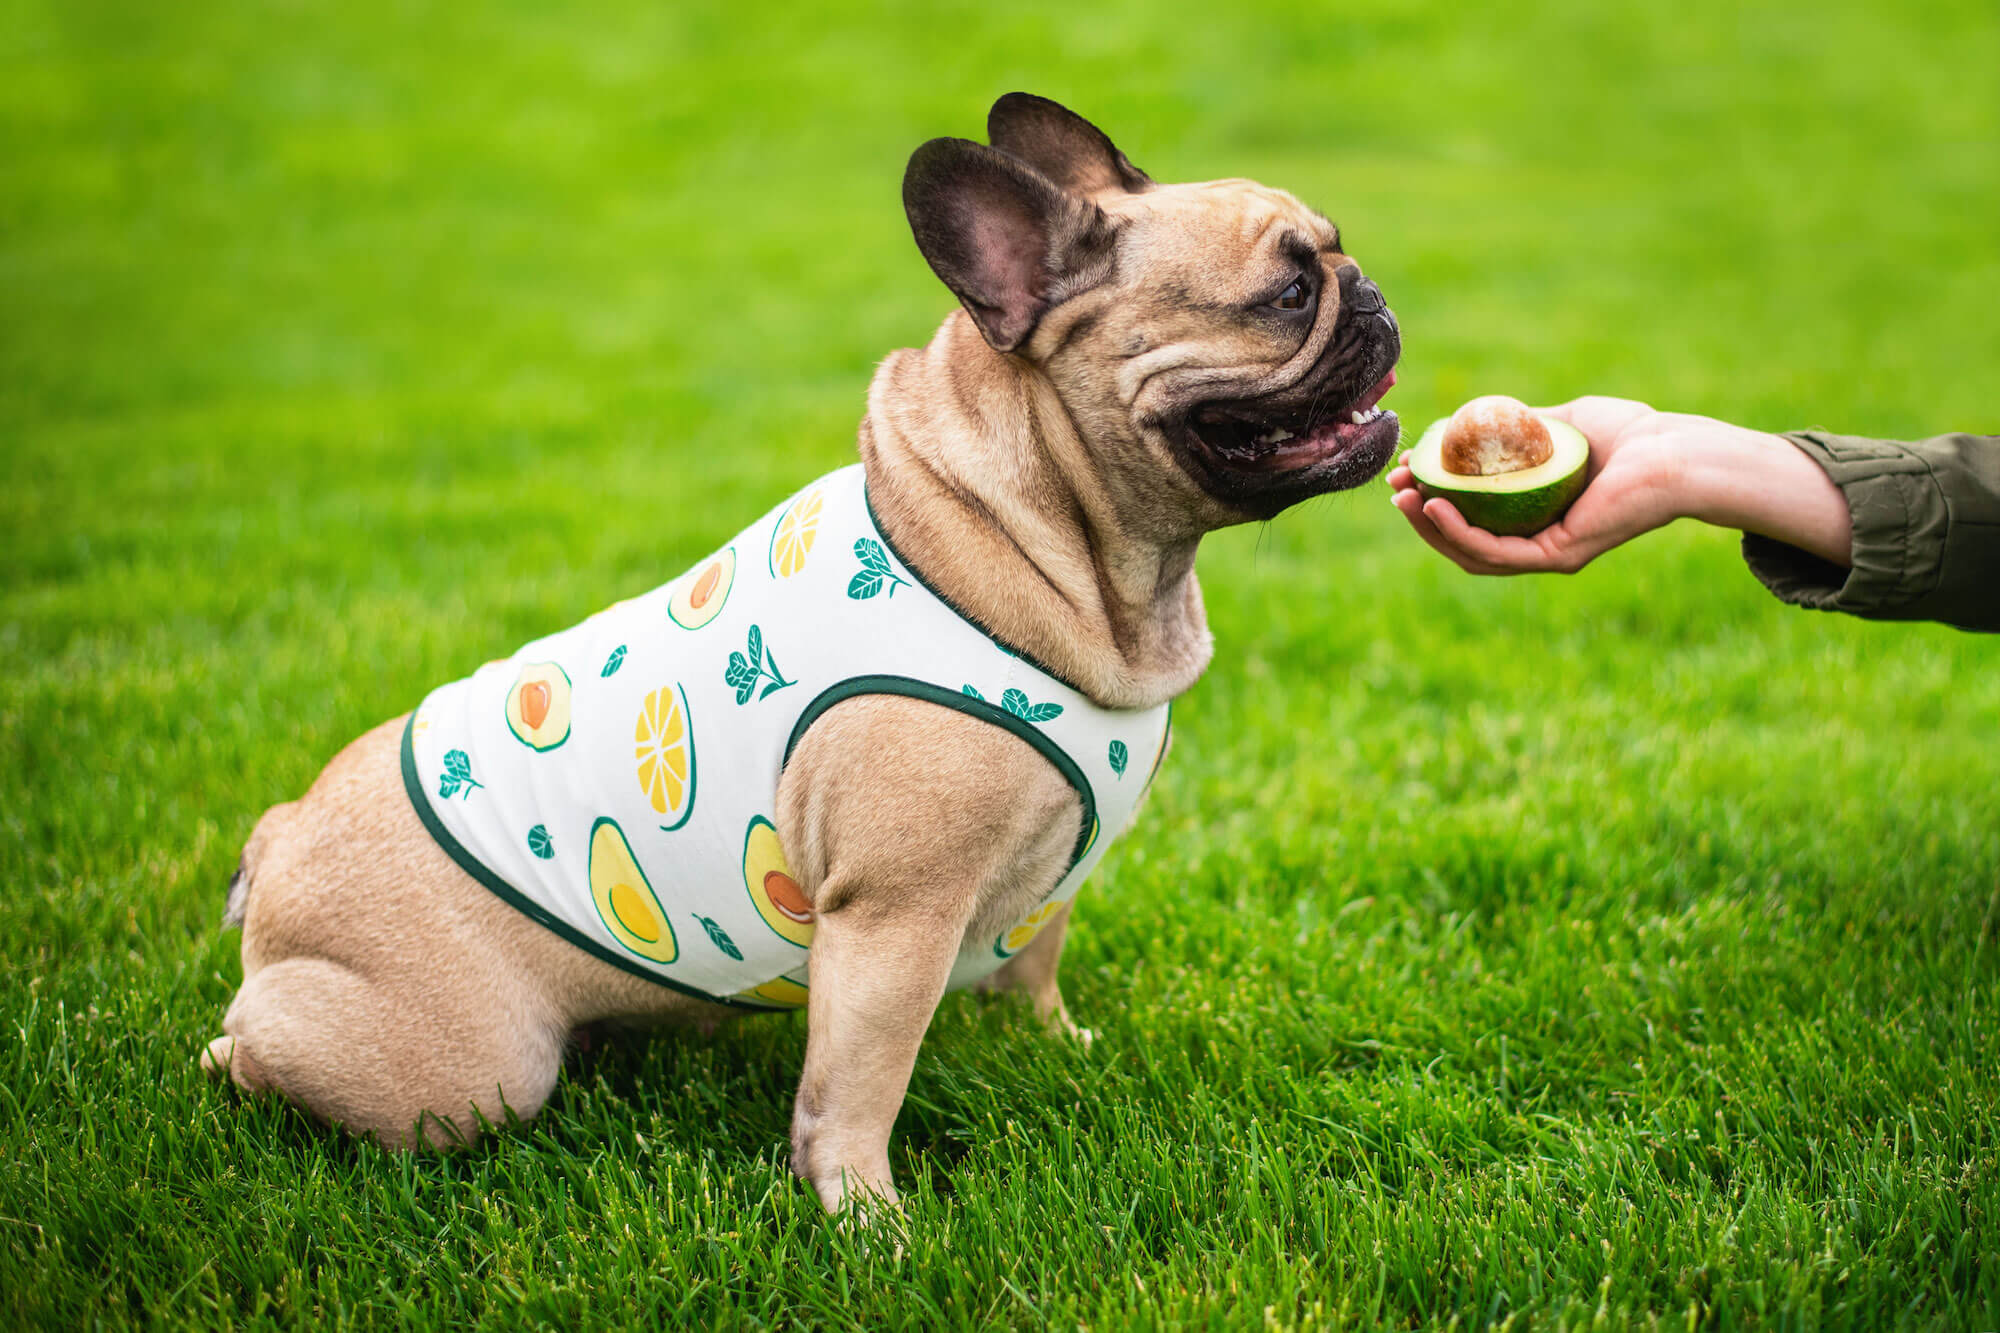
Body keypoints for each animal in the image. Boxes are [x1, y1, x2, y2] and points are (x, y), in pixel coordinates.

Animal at [199, 96, 1392, 1216]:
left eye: (1333, 255)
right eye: (1287, 295)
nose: (1369, 292)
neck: (1038, 546)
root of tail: (281, 837)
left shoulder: (1042, 883)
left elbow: (1034, 961)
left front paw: (1056, 1047)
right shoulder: (897, 915)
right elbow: (858, 1081)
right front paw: (864, 1215)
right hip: (451, 1069)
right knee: (276, 1054)